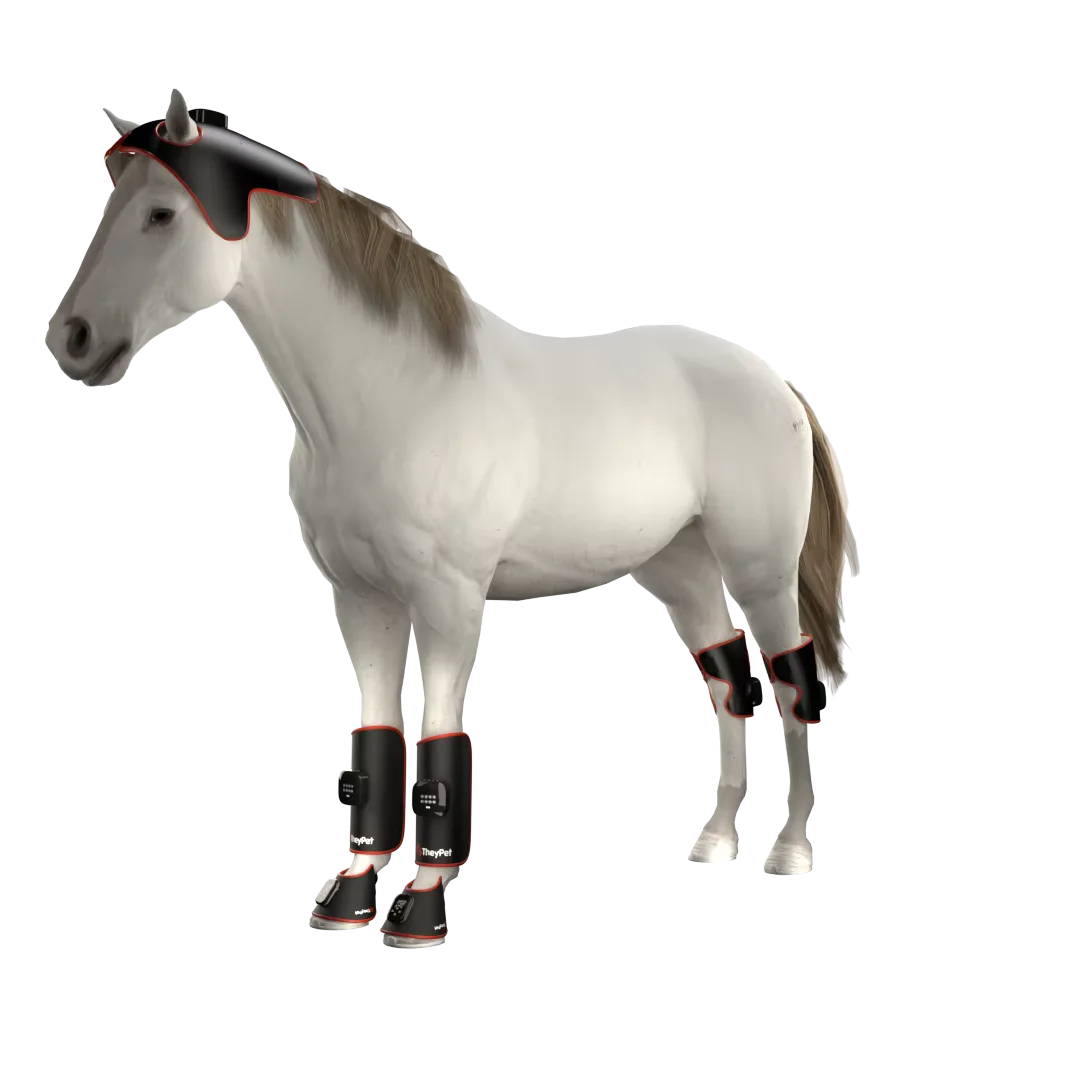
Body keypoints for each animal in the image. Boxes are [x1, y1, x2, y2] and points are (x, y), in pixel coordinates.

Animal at [47, 90, 857, 942]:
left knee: (789, 690)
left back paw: (789, 853)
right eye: (111, 201)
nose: (72, 339)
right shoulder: (362, 601)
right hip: (685, 572)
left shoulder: (448, 604)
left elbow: (439, 745)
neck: (391, 393)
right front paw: (348, 901)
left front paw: (422, 909)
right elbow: (376, 745)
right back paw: (713, 845)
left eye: (162, 214)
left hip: (762, 575)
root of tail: (775, 382)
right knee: (727, 684)